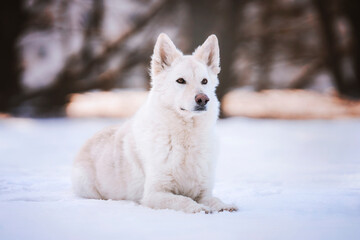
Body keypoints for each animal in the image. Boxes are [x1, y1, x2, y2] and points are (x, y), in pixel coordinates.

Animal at [71, 32, 238, 214]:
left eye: (204, 81)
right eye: (181, 81)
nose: (203, 99)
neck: (185, 139)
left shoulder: (203, 191)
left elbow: (213, 199)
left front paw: (224, 206)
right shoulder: (154, 194)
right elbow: (182, 200)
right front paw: (198, 208)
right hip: (87, 186)